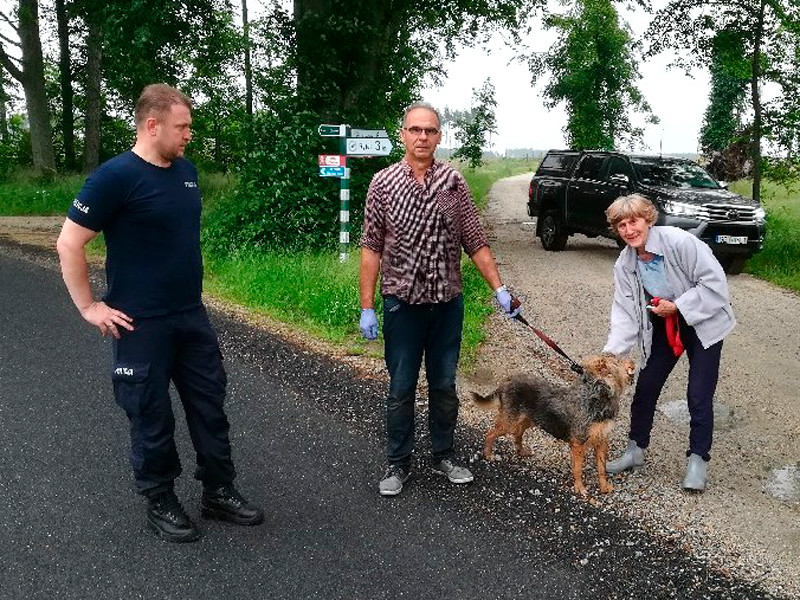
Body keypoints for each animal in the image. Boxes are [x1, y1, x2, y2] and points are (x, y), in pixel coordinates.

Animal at [472, 354, 636, 494]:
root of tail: (507, 380)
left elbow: (601, 469)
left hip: (529, 420)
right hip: (509, 421)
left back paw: (521, 451)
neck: (598, 397)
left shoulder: (601, 441)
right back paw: (488, 455)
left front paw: (604, 487)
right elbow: (578, 469)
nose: (633, 362)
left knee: (518, 433)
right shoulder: (578, 443)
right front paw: (579, 488)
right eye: (618, 360)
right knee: (490, 434)